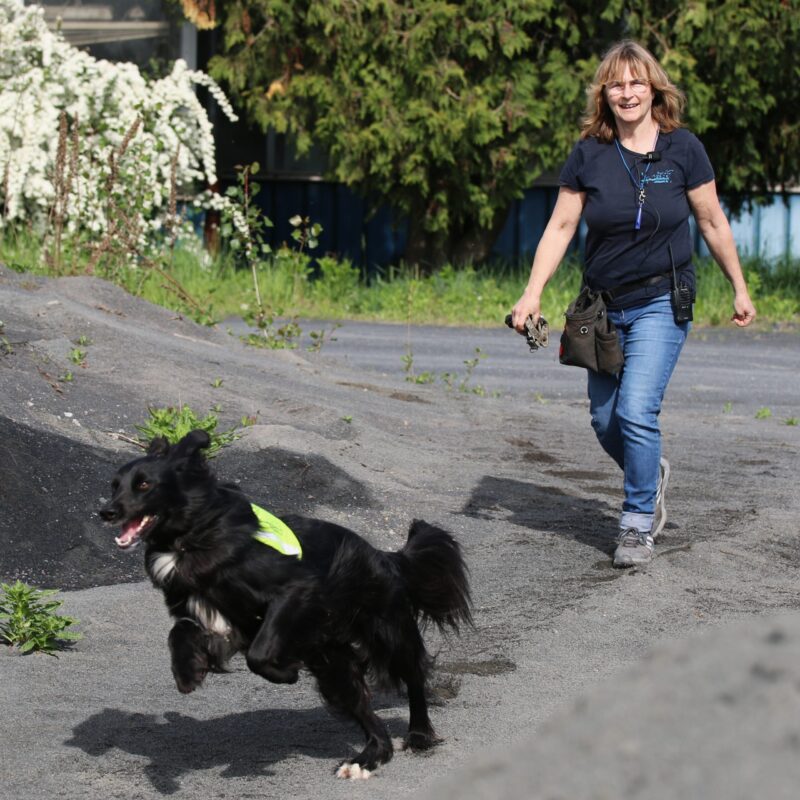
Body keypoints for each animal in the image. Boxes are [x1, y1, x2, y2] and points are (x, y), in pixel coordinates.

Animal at [99, 429, 471, 779]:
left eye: (144, 484)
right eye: (114, 486)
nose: (106, 511)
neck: (194, 534)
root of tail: (386, 556)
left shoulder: (295, 591)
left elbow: (259, 652)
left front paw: (286, 673)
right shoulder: (218, 622)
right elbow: (179, 632)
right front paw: (187, 672)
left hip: (386, 633)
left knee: (414, 677)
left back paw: (419, 735)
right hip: (334, 667)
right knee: (369, 717)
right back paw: (364, 760)